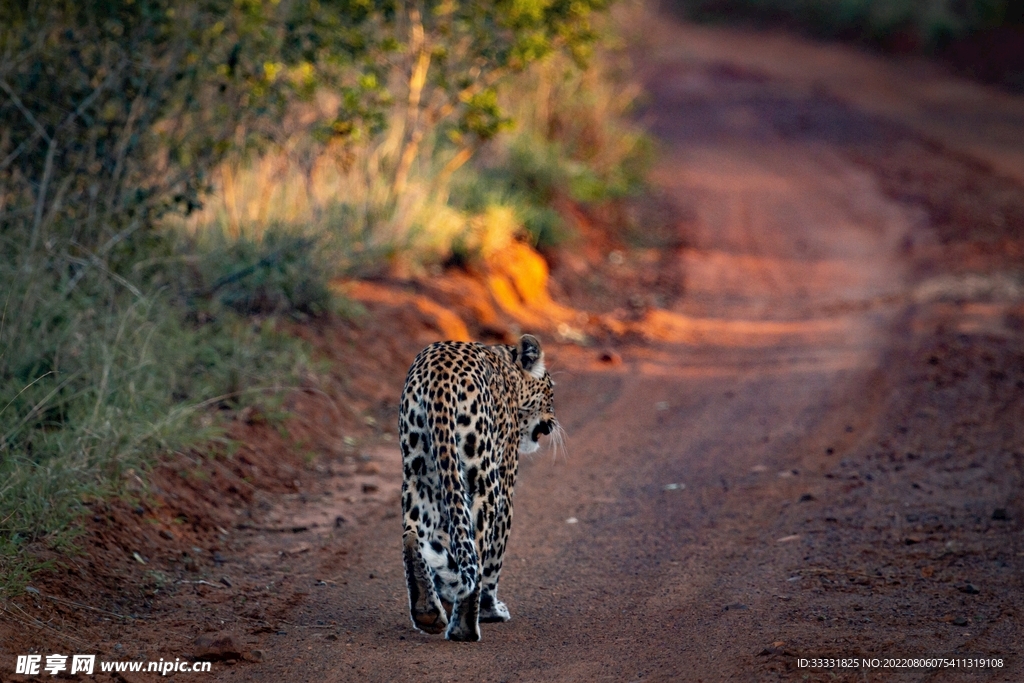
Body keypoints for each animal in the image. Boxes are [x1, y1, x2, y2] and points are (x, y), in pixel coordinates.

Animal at [399, 333, 561, 643]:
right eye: (550, 392)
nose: (552, 422)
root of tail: (439, 375)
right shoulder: (506, 484)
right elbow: (493, 560)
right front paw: (491, 610)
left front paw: (446, 595)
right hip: (484, 482)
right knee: (477, 549)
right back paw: (465, 627)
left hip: (418, 475)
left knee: (414, 536)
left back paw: (427, 611)